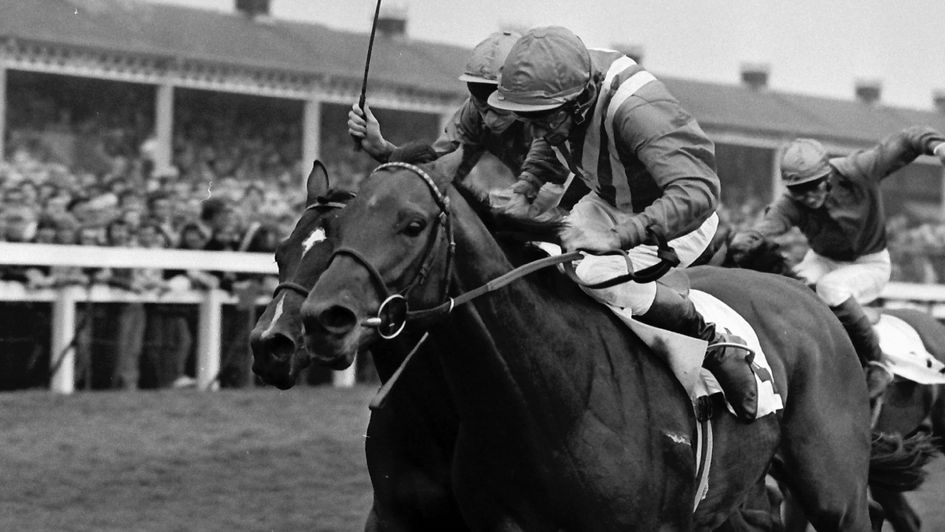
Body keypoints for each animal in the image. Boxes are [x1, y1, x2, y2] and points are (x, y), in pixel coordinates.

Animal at [296, 152, 916, 528]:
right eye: (340, 225)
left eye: (412, 224)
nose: (322, 318)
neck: (551, 399)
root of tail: (812, 299)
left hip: (835, 491)